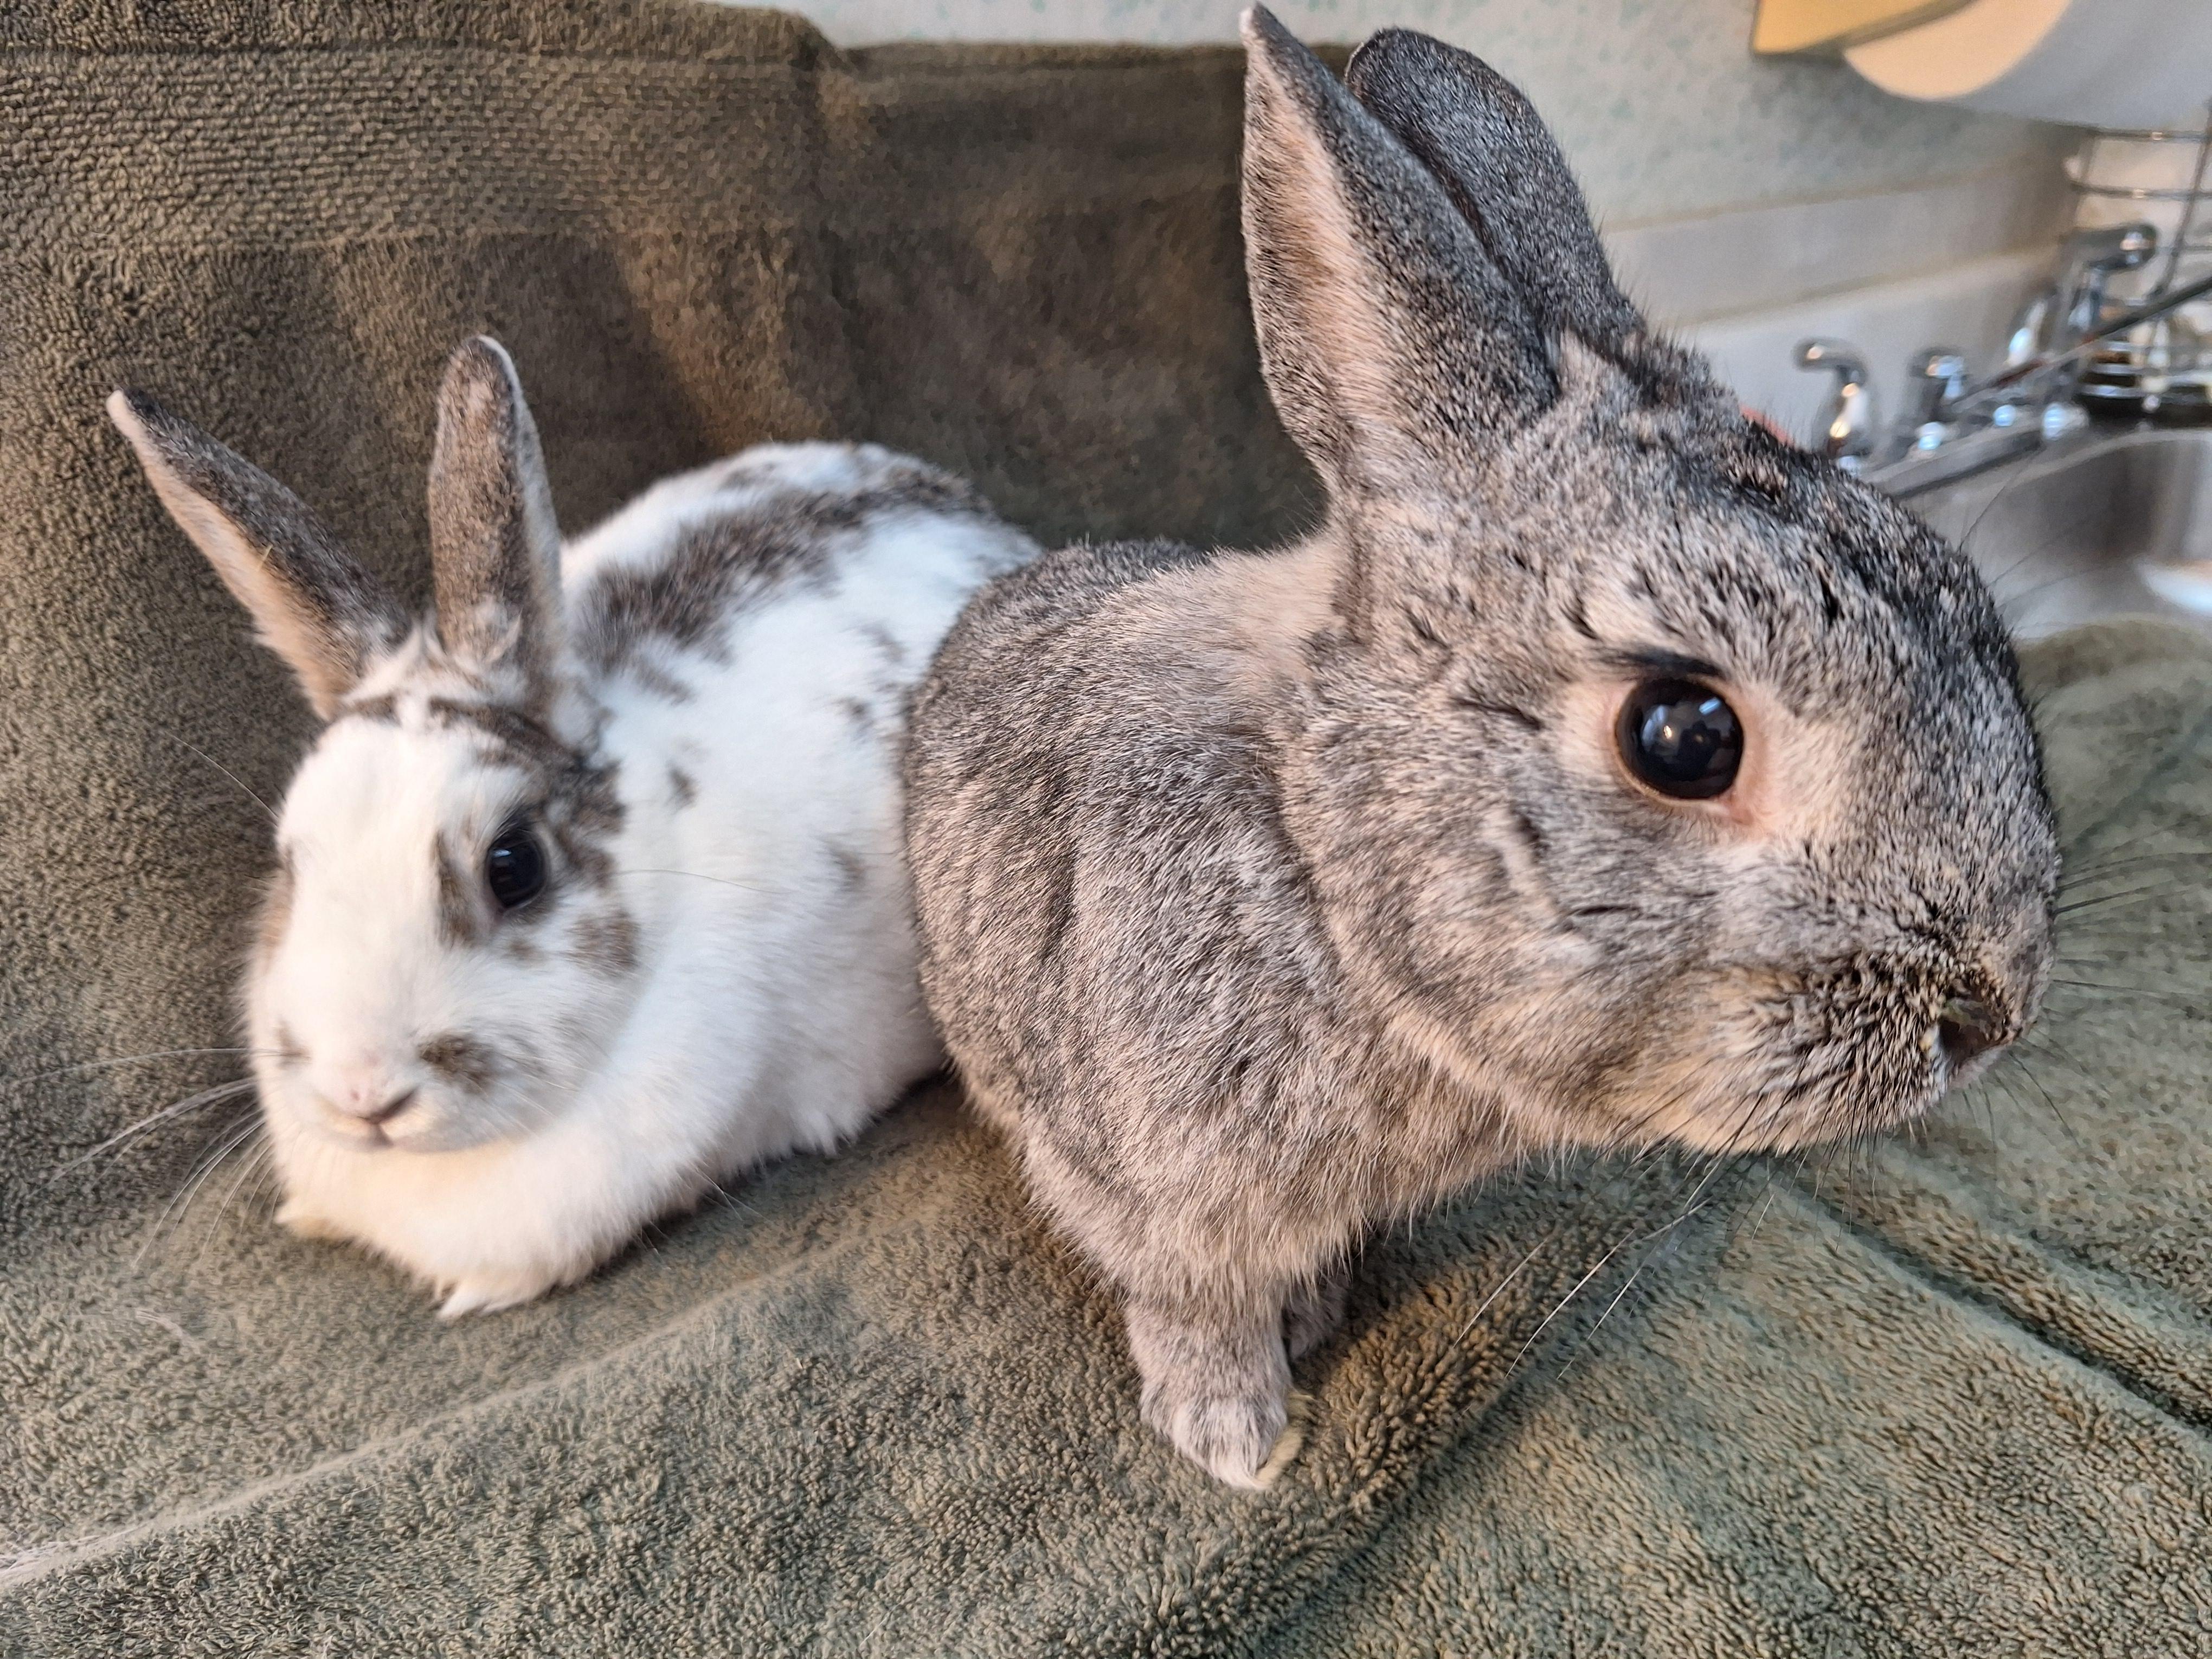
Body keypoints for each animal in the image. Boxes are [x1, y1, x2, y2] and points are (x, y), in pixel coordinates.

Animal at [903, 10, 2058, 1488]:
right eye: (1683, 737)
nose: (1991, 1013)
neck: (1315, 863)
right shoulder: (1153, 1191)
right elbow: (1194, 1306)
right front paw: (1237, 1441)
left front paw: (1315, 1315)